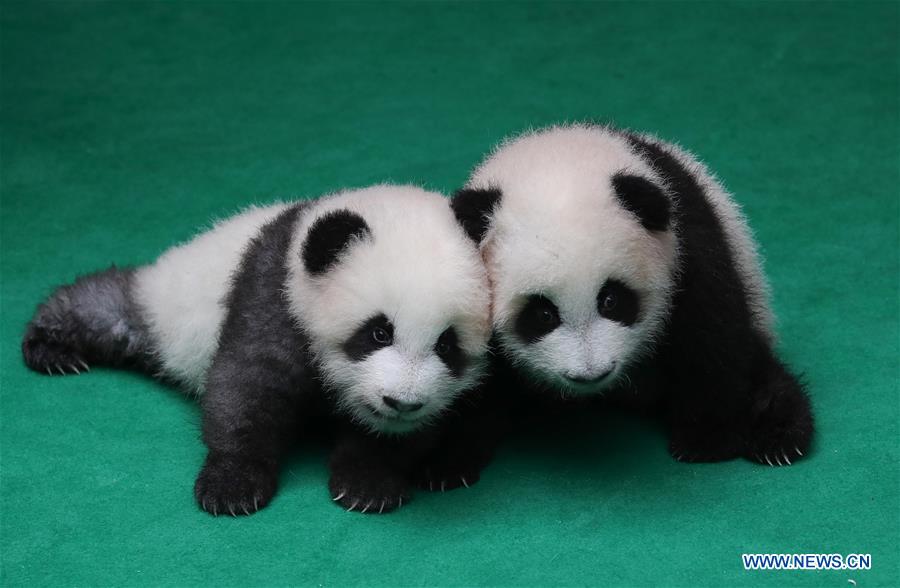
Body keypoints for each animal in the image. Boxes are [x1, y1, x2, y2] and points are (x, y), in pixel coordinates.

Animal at [22, 184, 492, 515]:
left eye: (447, 344)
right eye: (378, 332)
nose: (401, 402)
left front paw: (368, 483)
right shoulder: (273, 293)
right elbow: (247, 384)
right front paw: (232, 485)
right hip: (161, 306)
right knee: (108, 306)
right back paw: (51, 348)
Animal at [450, 124, 814, 466]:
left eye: (611, 300)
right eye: (543, 314)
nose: (591, 373)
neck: (563, 154)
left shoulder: (685, 244)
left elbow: (711, 337)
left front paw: (707, 439)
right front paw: (449, 461)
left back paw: (778, 435)